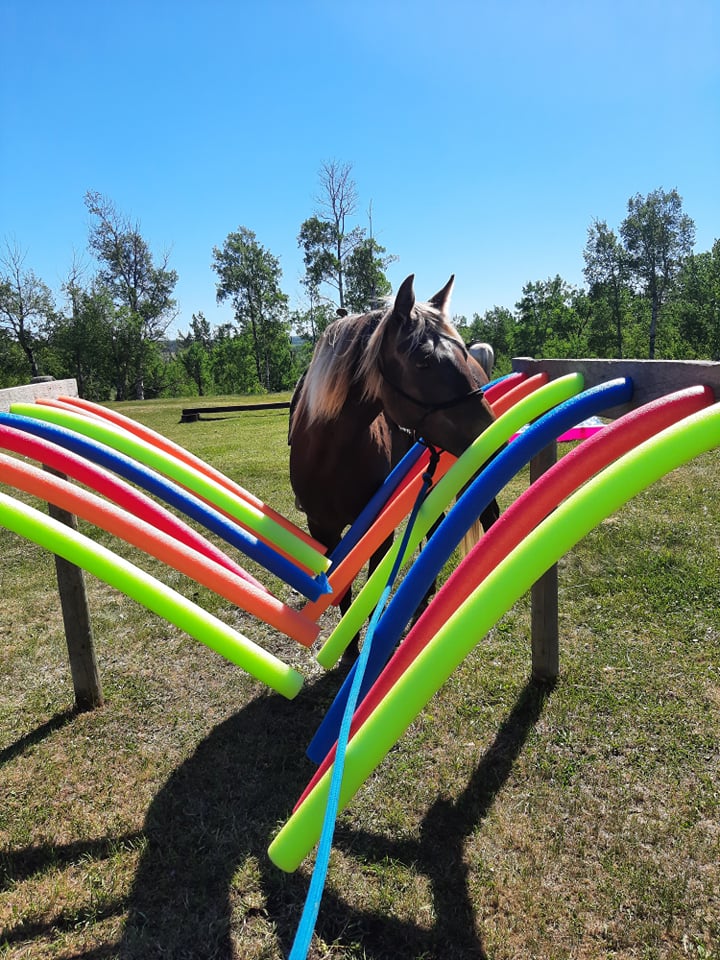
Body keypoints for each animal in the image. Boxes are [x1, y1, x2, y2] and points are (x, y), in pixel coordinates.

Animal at [289, 274, 498, 653]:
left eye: (460, 352)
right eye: (423, 361)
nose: (493, 432)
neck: (331, 455)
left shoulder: (378, 531)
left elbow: (369, 592)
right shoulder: (322, 528)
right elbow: (341, 591)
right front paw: (349, 652)